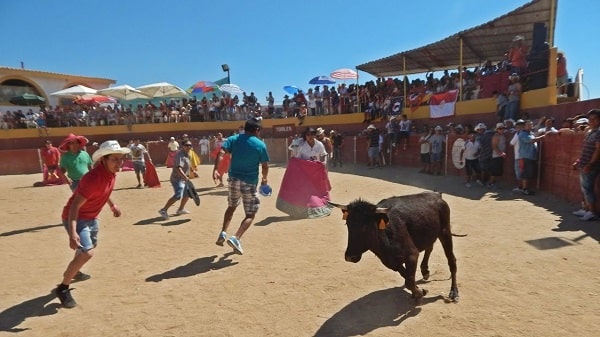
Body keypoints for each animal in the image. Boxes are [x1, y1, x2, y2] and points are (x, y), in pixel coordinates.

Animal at [328, 190, 460, 300]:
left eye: (366, 226)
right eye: (348, 224)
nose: (350, 257)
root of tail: (436, 195)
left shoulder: (412, 255)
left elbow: (409, 280)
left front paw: (420, 292)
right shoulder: (391, 262)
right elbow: (407, 277)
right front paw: (418, 291)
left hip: (445, 231)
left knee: (452, 260)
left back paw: (454, 292)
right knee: (430, 247)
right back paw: (425, 271)